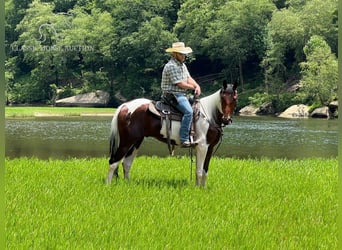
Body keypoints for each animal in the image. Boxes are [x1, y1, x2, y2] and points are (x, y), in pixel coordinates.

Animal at [107, 80, 238, 186]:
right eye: (223, 98)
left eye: (234, 98)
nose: (226, 119)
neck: (209, 115)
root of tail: (124, 106)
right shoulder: (202, 146)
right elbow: (199, 171)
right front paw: (198, 189)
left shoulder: (209, 147)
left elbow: (205, 170)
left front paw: (203, 189)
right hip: (126, 141)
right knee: (113, 162)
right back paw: (108, 185)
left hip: (136, 142)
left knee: (126, 163)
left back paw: (128, 185)